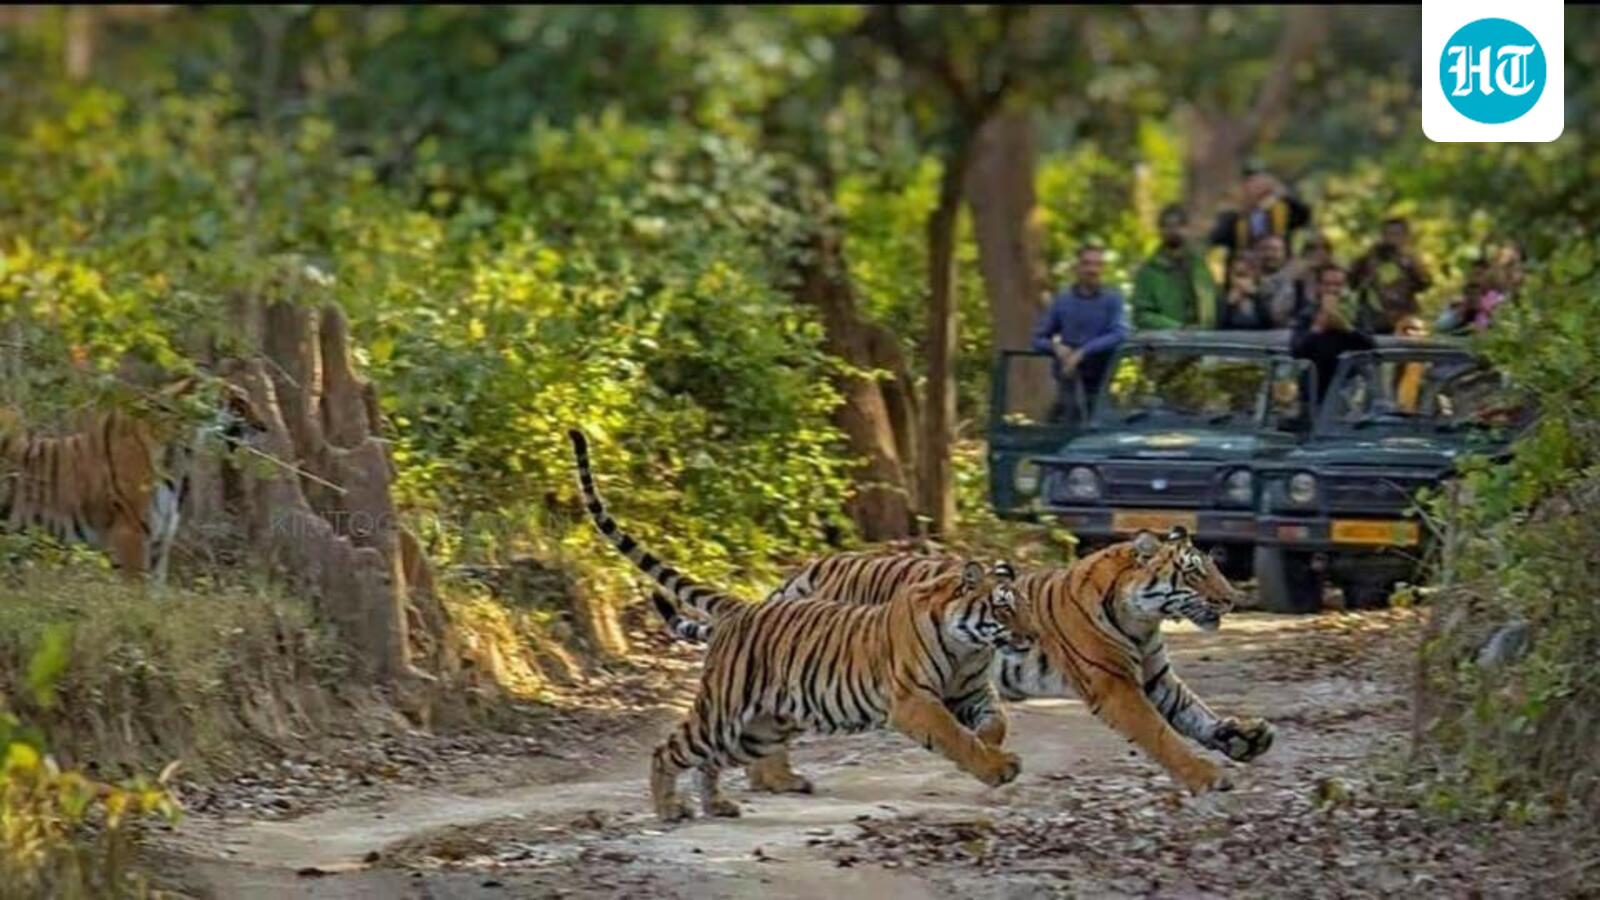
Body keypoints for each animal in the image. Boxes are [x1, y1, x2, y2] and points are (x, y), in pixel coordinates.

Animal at [568, 429, 1034, 819]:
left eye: (1025, 607)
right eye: (1004, 608)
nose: (1031, 636)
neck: (969, 646)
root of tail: (742, 608)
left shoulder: (971, 691)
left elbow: (995, 723)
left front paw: (992, 747)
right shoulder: (915, 700)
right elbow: (954, 736)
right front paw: (995, 765)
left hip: (760, 726)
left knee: (715, 761)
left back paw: (722, 803)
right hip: (722, 713)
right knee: (670, 750)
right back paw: (670, 809)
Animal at [717, 531, 1274, 795]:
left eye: (1214, 569)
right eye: (1194, 573)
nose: (1231, 601)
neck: (1141, 619)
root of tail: (815, 565)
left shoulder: (1157, 675)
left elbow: (1198, 715)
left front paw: (1244, 739)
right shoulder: (1116, 685)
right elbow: (1162, 734)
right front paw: (1207, 776)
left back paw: (770, 781)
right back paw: (776, 780)